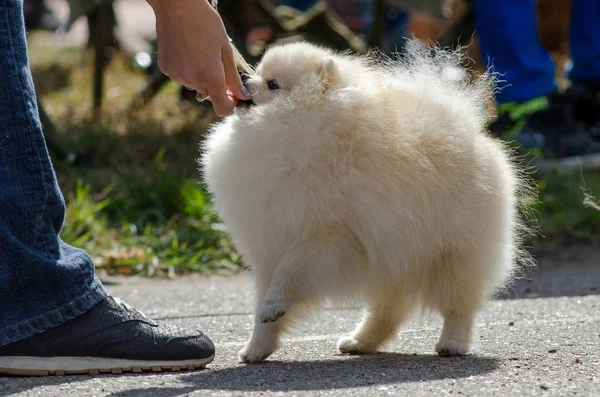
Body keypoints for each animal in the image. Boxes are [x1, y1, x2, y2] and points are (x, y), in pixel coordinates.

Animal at [202, 39, 536, 362]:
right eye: (257, 71)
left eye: (273, 84)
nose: (243, 78)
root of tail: (470, 132)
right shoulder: (269, 245)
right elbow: (266, 299)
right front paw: (257, 347)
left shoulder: (327, 235)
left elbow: (290, 270)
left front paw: (273, 307)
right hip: (395, 255)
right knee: (390, 310)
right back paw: (361, 342)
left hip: (452, 253)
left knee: (458, 305)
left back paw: (452, 343)